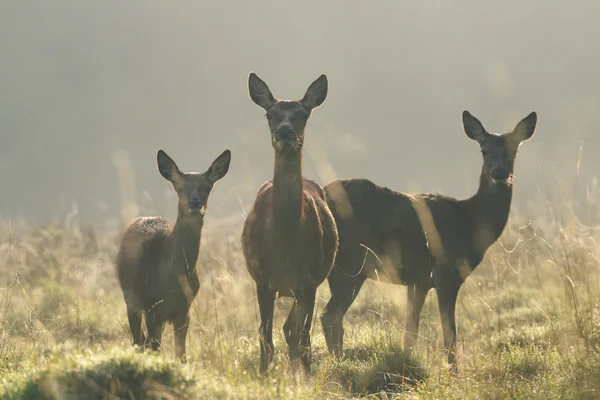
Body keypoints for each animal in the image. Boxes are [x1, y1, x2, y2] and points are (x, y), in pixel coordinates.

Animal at [116, 148, 231, 360]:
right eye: (179, 187)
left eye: (207, 188)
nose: (195, 202)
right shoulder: (152, 305)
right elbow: (154, 346)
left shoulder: (184, 309)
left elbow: (181, 354)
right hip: (130, 296)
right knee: (138, 339)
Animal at [243, 72, 338, 376]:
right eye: (269, 114)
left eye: (303, 114)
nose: (285, 131)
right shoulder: (262, 279)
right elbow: (265, 337)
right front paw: (263, 375)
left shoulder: (309, 280)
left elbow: (304, 337)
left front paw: (306, 377)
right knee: (284, 330)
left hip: (308, 284)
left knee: (294, 332)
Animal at [322, 109, 536, 368]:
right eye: (484, 150)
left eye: (514, 150)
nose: (499, 173)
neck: (470, 222)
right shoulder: (446, 273)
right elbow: (449, 336)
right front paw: (454, 374)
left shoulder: (419, 281)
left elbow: (410, 332)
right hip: (350, 265)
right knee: (330, 316)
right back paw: (335, 363)